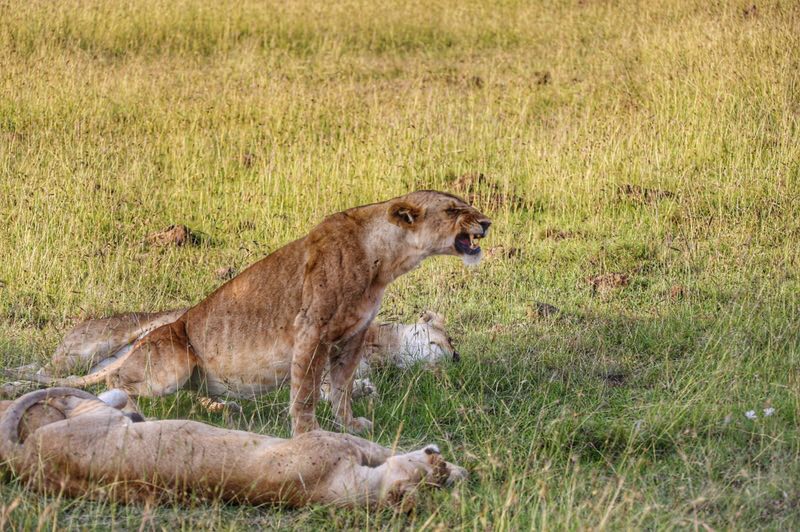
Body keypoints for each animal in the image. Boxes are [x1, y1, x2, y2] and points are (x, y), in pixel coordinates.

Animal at [0, 386, 468, 508]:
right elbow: (383, 444)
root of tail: (22, 459)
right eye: (428, 467)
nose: (437, 459)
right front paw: (458, 467)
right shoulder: (331, 441)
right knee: (93, 398)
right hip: (95, 417)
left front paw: (458, 473)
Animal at [14, 193, 488, 434]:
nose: (486, 223)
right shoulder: (311, 329)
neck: (386, 258)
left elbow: (341, 388)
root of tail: (143, 342)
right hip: (169, 360)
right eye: (454, 211)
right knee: (114, 383)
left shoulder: (352, 337)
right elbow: (306, 392)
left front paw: (350, 424)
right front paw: (308, 437)